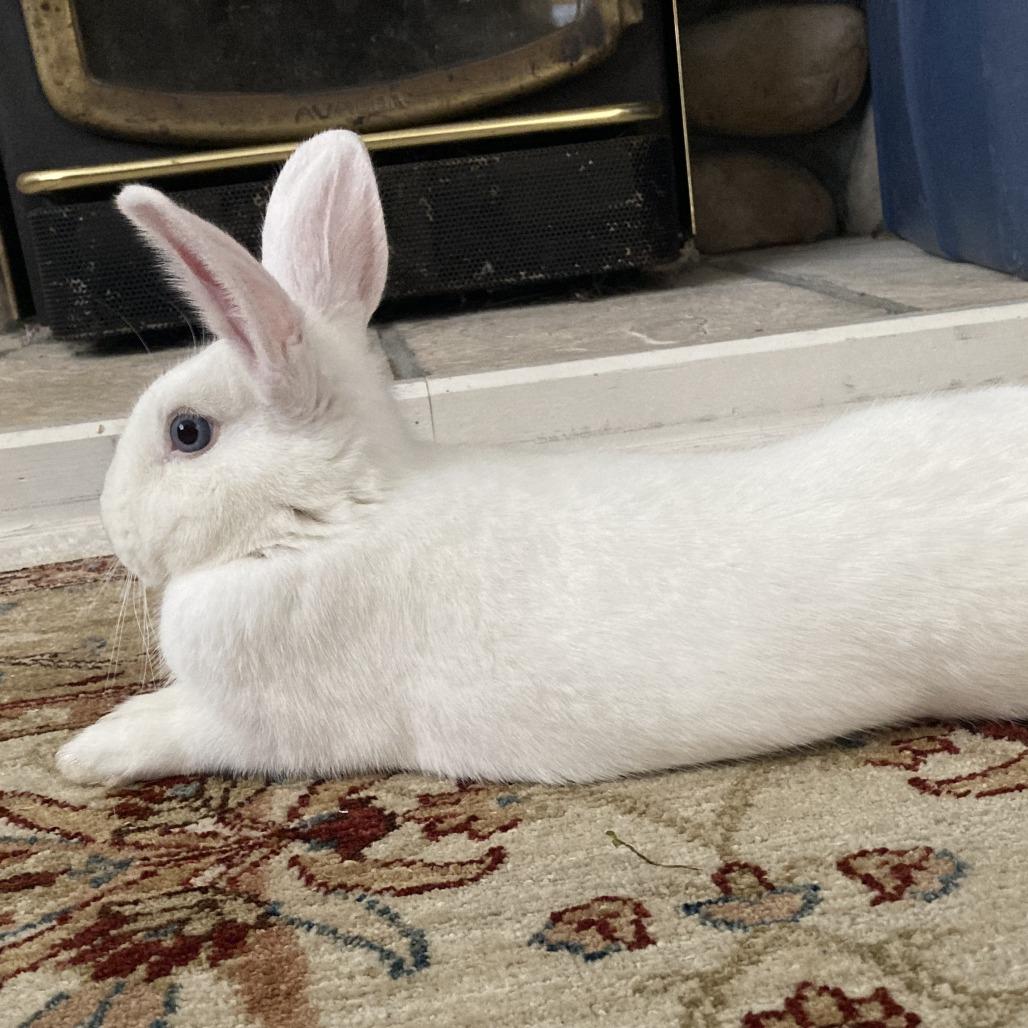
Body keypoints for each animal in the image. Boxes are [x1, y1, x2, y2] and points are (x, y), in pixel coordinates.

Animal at [57, 129, 1028, 788]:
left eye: (188, 433)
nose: (112, 529)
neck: (341, 513)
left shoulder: (264, 729)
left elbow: (178, 730)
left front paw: (84, 754)